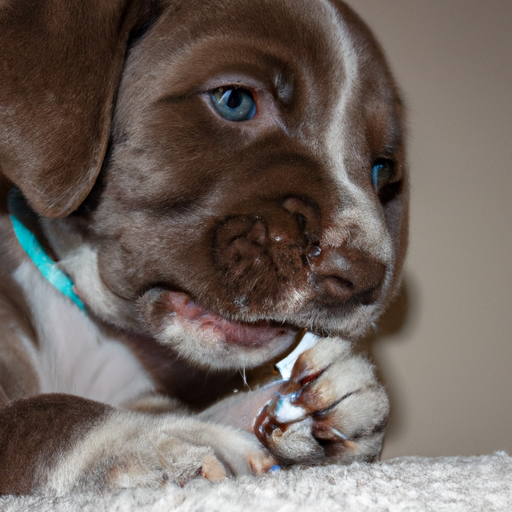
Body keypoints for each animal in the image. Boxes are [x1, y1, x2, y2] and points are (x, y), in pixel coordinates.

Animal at [0, 0, 408, 496]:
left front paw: (331, 402)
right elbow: (35, 414)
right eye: (234, 100)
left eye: (381, 169)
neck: (95, 333)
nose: (365, 278)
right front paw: (140, 439)